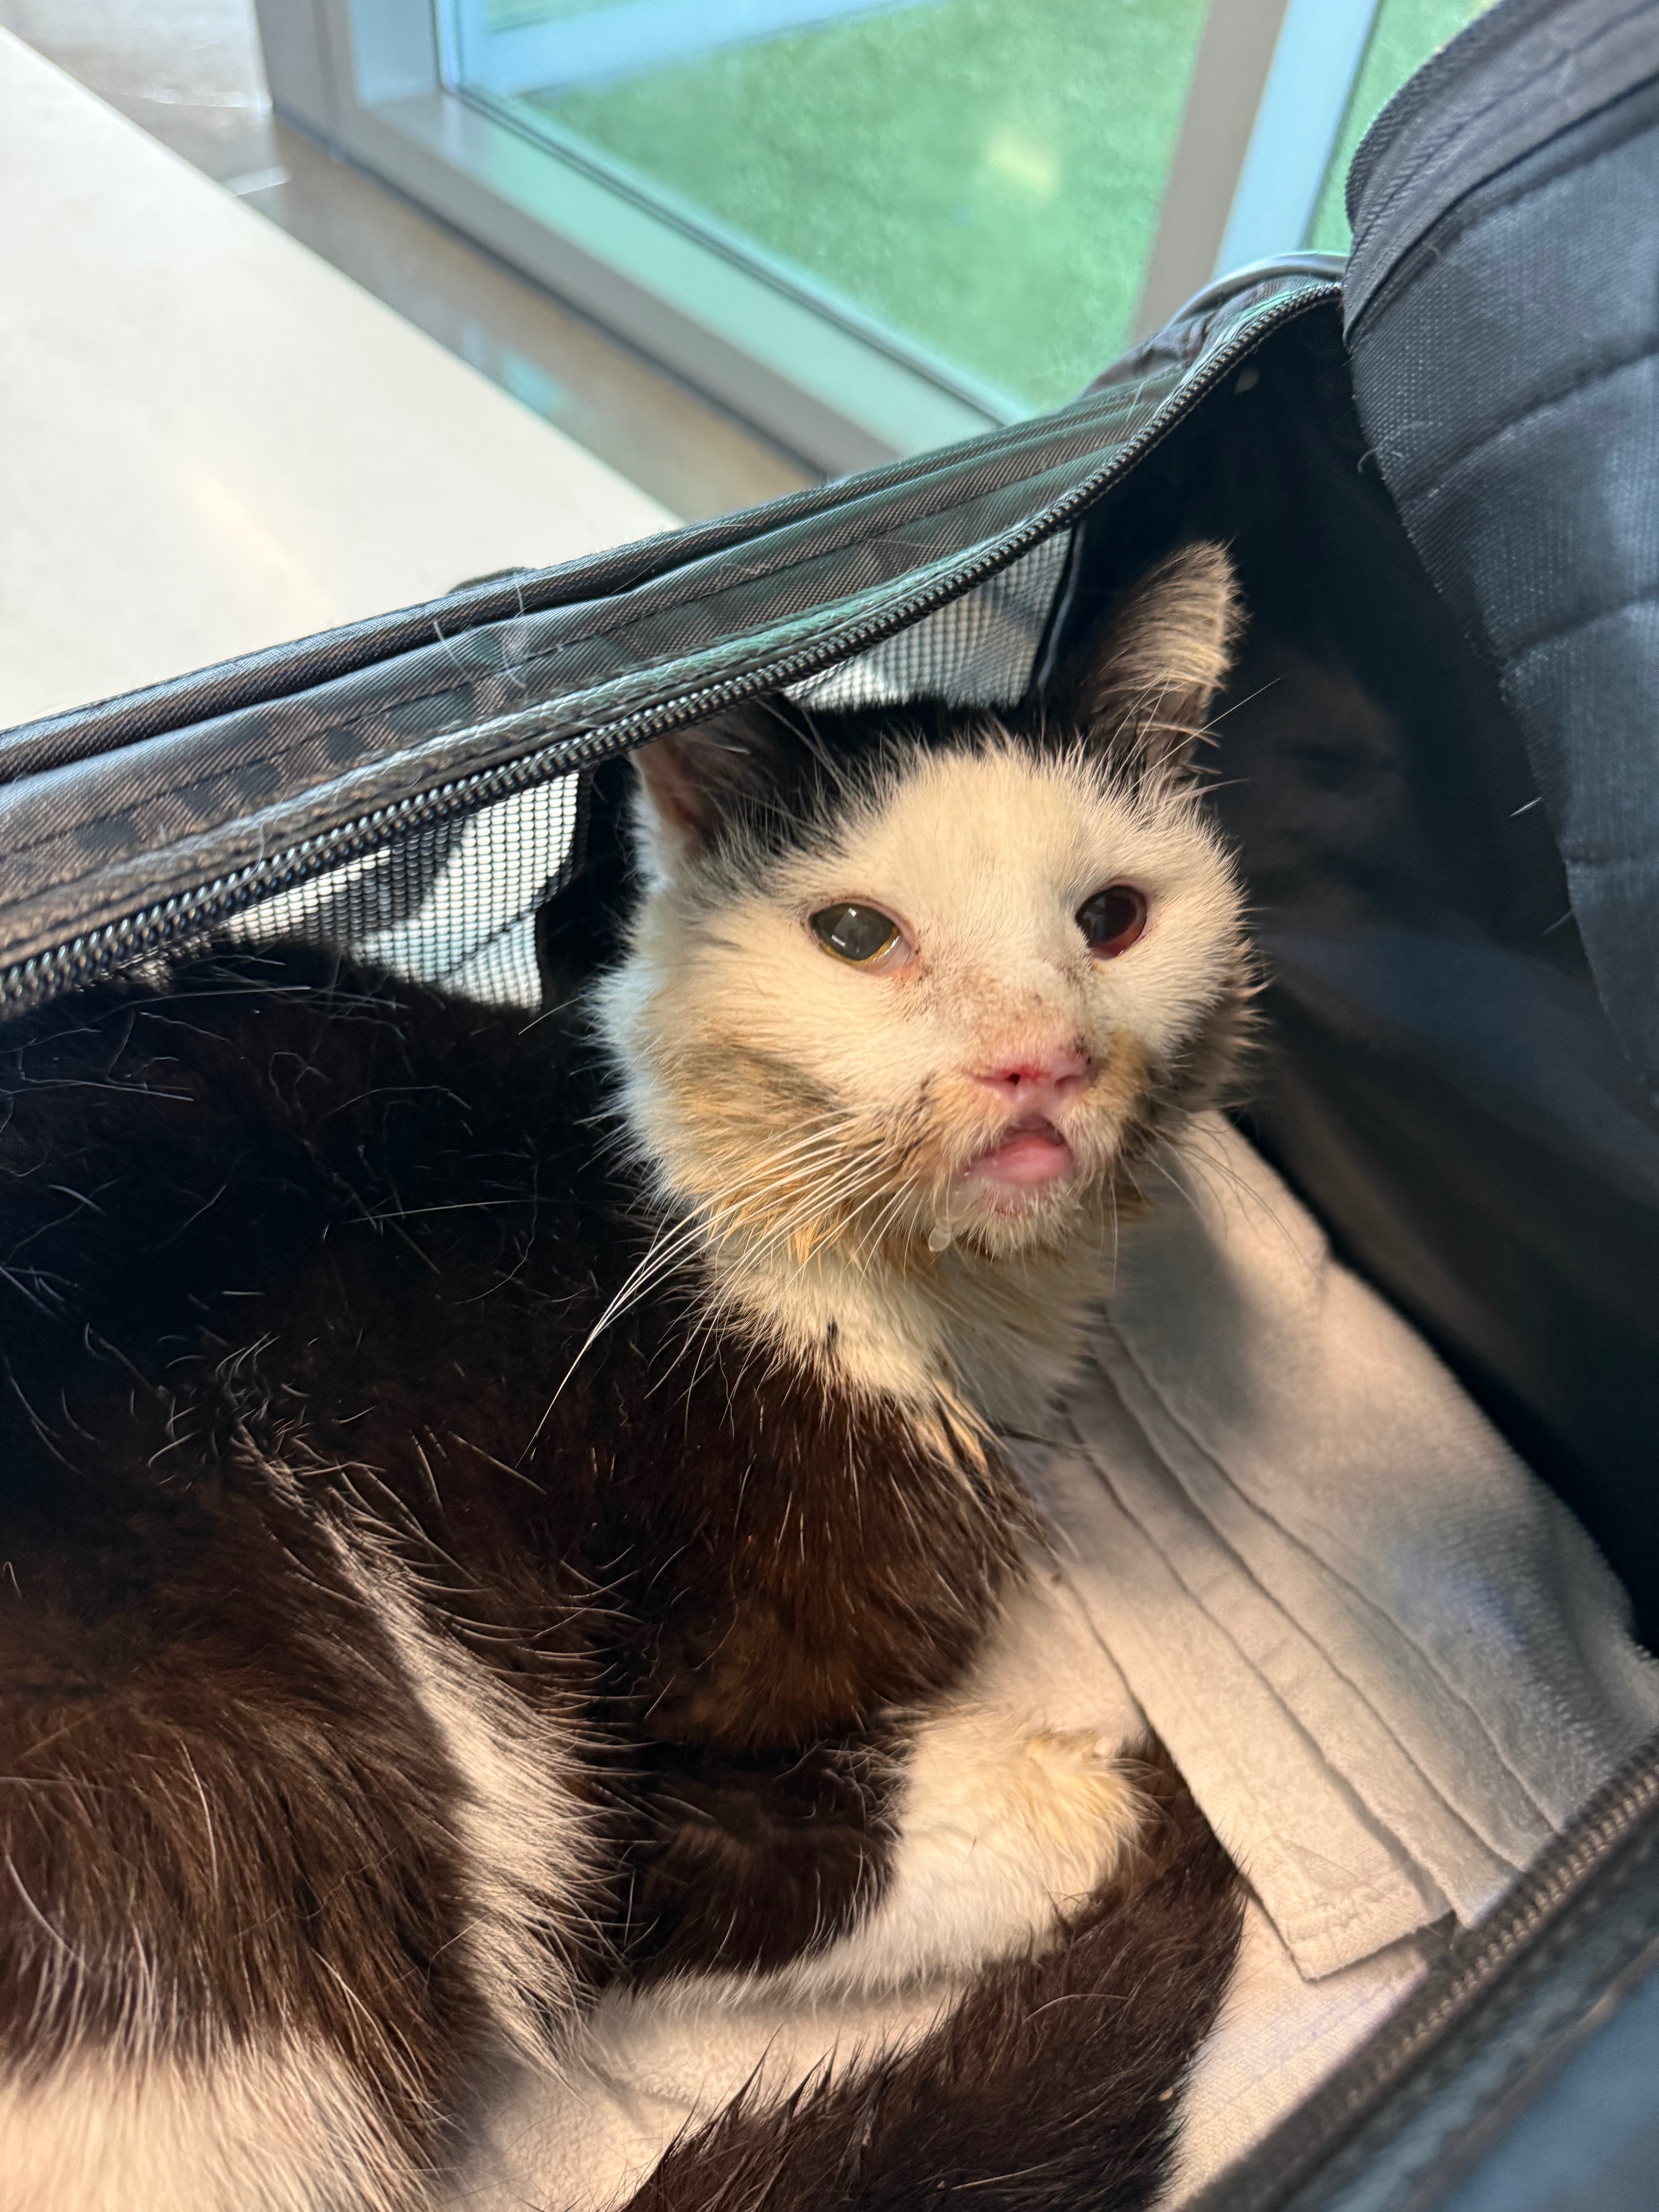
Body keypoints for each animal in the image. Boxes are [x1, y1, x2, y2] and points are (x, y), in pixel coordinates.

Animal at [0, 542, 1249, 2212]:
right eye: (856, 938)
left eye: (1114, 919)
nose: (1038, 1058)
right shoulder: (600, 1756)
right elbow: (749, 1853)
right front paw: (1118, 1801)